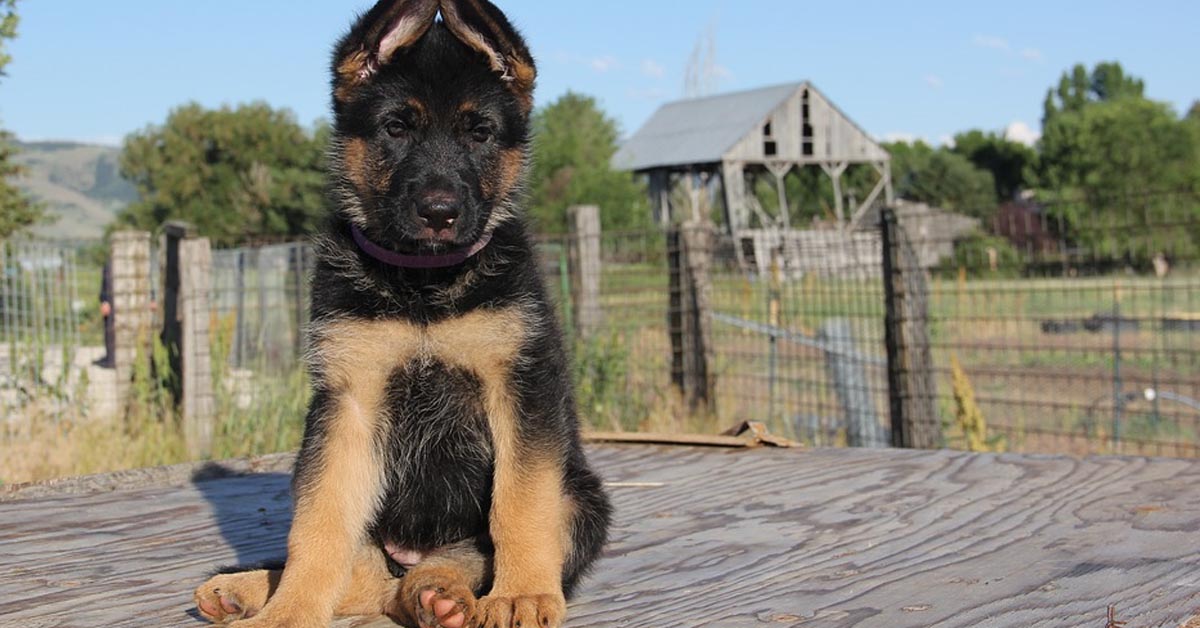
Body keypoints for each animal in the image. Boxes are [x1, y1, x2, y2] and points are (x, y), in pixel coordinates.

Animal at [198, 2, 614, 624]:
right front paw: (290, 609)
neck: (424, 284)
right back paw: (248, 588)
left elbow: (519, 504)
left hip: (583, 497)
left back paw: (442, 591)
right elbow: (318, 527)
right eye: (397, 128)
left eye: (479, 132)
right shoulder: (348, 401)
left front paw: (520, 593)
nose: (439, 213)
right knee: (365, 572)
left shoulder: (521, 388)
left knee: (462, 554)